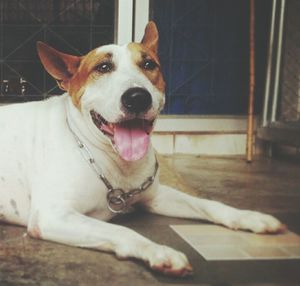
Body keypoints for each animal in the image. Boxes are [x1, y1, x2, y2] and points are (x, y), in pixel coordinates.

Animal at [0, 21, 286, 276]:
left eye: (149, 64)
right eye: (103, 67)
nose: (137, 97)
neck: (107, 157)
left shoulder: (155, 196)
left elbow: (207, 204)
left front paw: (250, 217)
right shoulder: (52, 215)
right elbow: (122, 230)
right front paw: (158, 251)